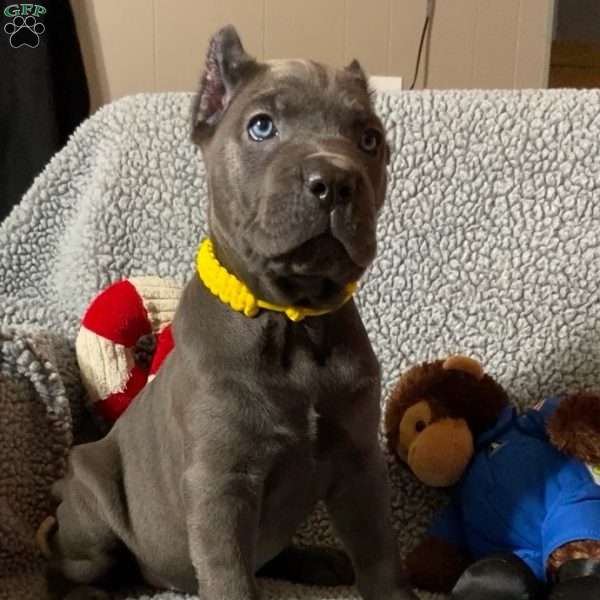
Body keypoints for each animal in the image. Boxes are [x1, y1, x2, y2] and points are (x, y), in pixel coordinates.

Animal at [39, 25, 418, 600]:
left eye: (369, 139)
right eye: (261, 126)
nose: (335, 180)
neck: (292, 319)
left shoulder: (358, 463)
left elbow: (380, 557)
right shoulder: (221, 485)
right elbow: (232, 577)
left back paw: (315, 561)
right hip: (93, 495)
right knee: (69, 566)